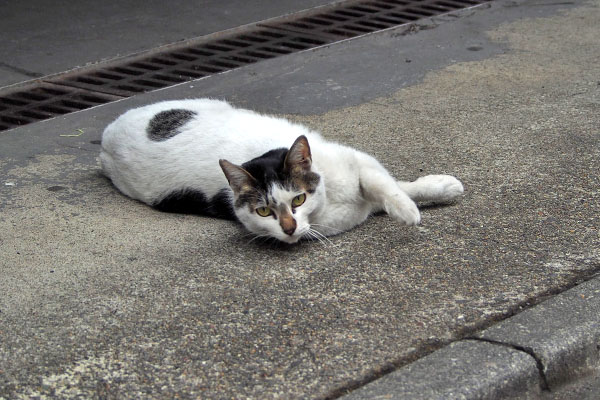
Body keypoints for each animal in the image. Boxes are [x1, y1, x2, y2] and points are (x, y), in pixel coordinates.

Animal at [101, 99, 464, 244]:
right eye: (264, 212)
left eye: (298, 199)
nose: (288, 228)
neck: (330, 203)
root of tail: (107, 136)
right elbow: (386, 188)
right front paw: (411, 211)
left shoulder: (357, 162)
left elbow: (389, 185)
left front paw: (428, 196)